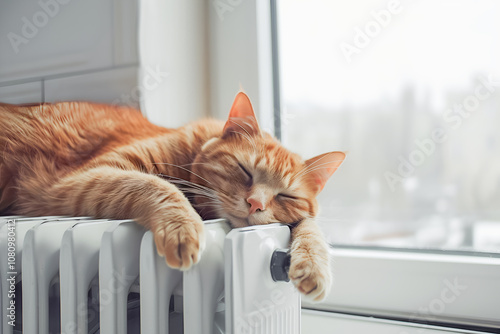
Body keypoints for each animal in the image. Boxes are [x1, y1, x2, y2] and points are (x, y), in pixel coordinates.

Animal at [0, 92, 344, 302]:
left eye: (286, 195)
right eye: (245, 170)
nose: (256, 204)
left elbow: (310, 227)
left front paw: (314, 266)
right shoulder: (81, 179)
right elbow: (156, 185)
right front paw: (183, 228)